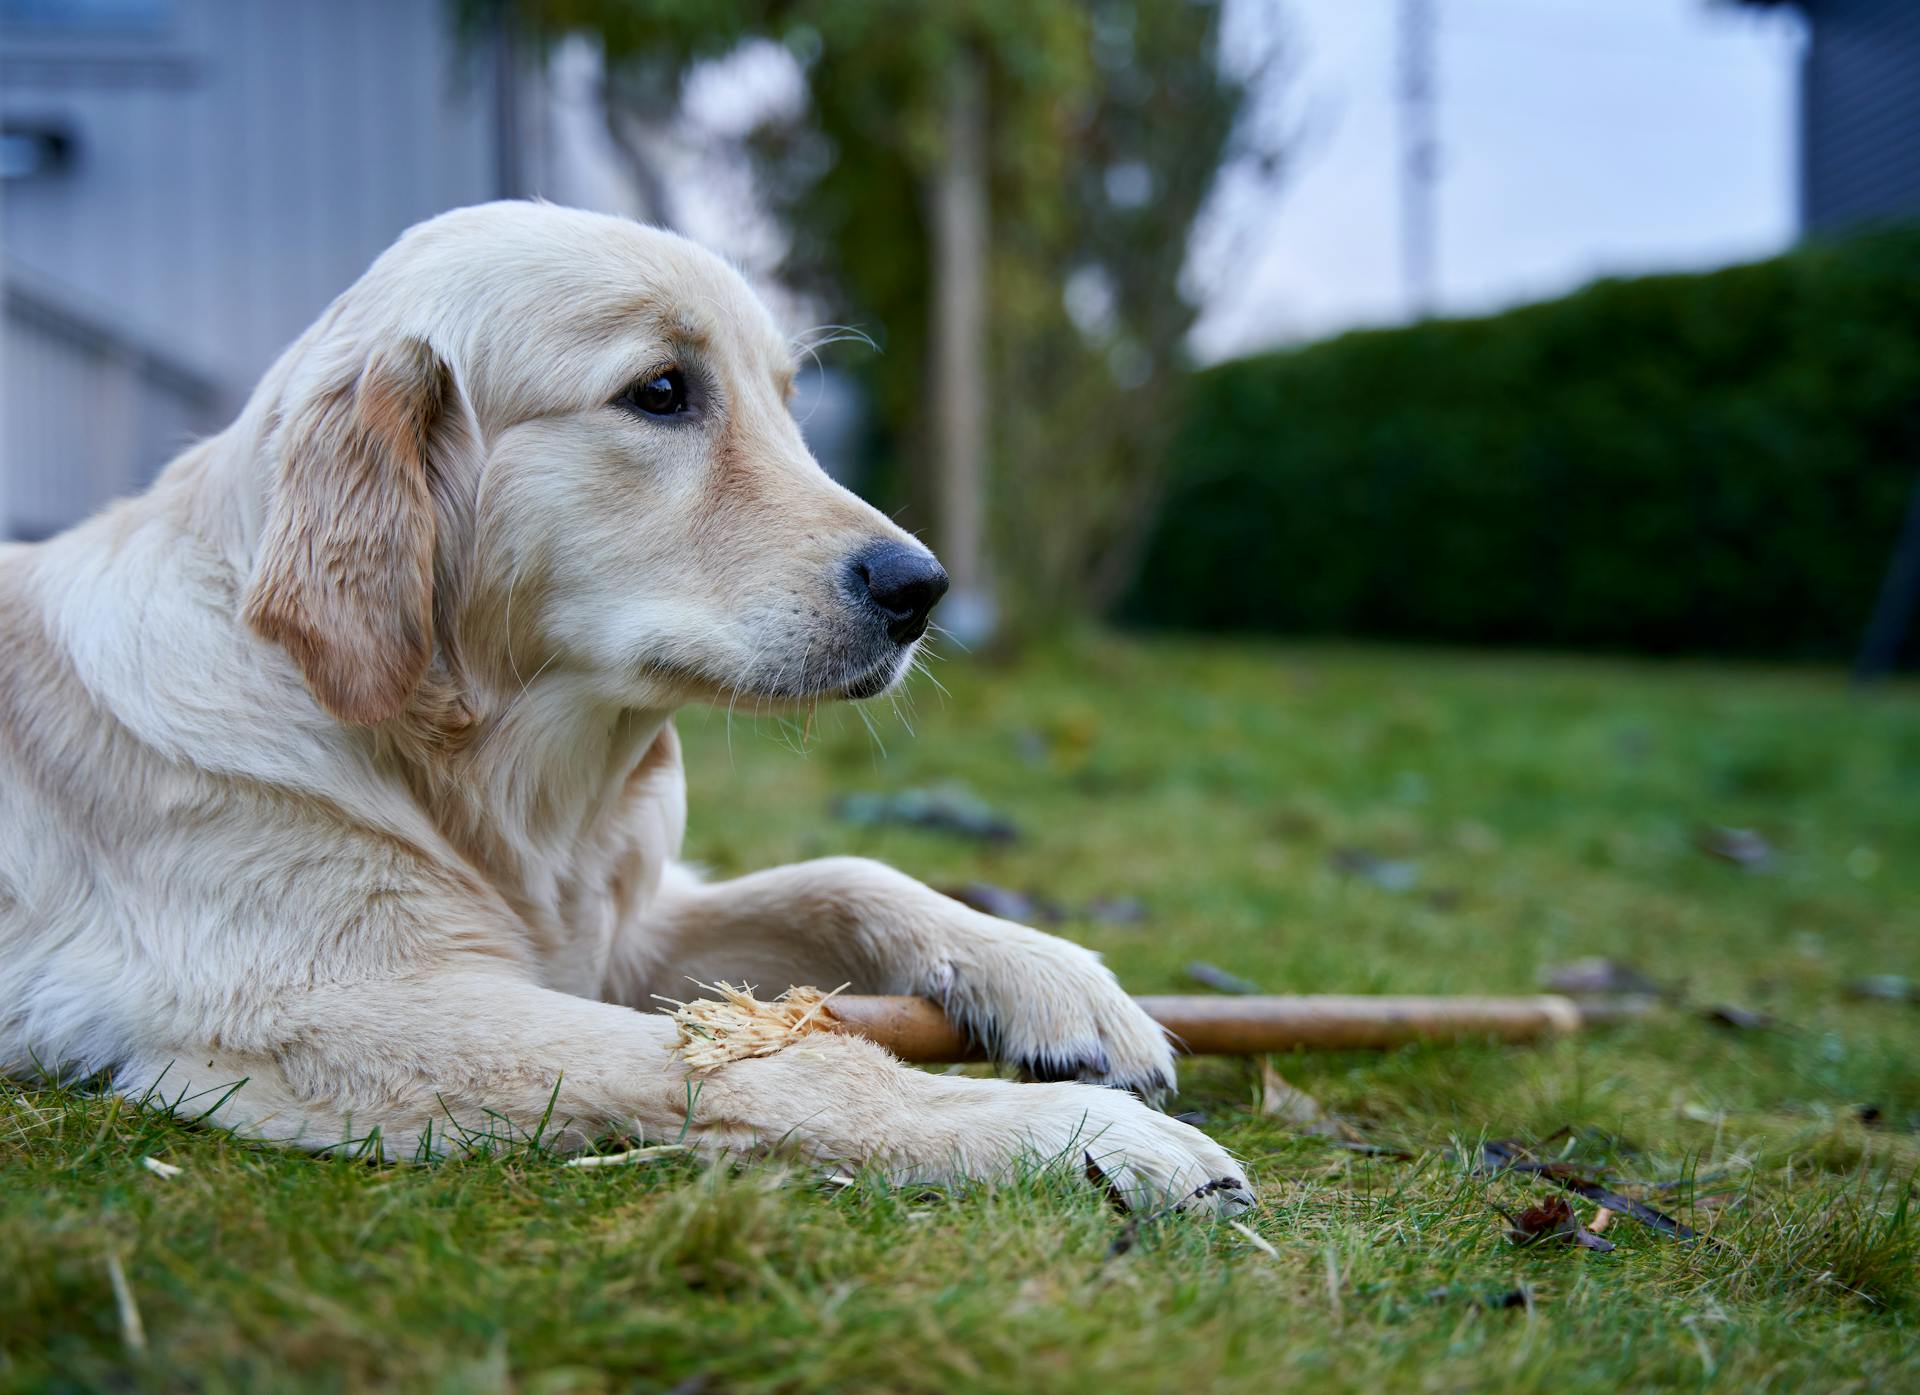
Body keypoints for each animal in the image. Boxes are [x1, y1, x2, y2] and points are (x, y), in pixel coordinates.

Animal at [0, 201, 1251, 1220]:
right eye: (660, 394)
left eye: (785, 405)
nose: (922, 591)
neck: (480, 777)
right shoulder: (318, 1010)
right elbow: (780, 1063)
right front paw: (1076, 1135)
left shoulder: (618, 933)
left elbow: (846, 875)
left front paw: (1057, 981)